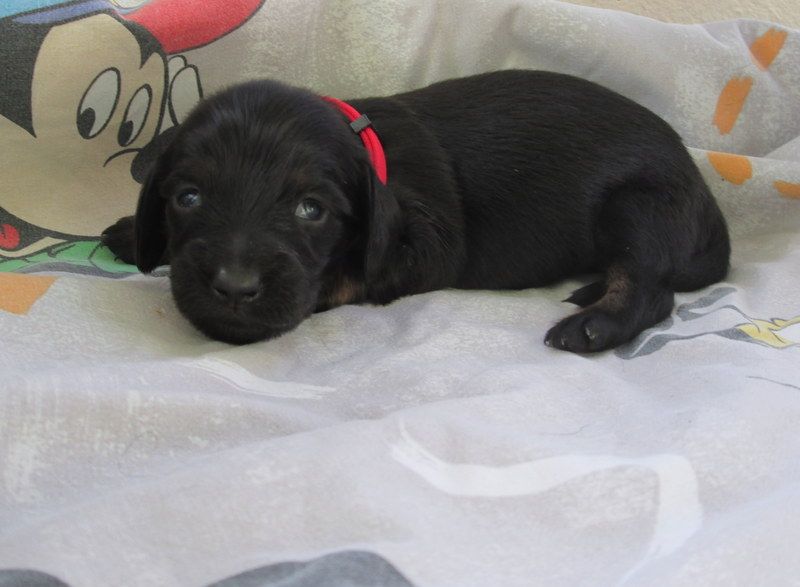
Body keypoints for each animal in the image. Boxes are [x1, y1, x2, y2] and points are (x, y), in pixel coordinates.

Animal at [102, 70, 730, 352]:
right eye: (188, 198)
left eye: (311, 209)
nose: (234, 287)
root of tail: (704, 195)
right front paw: (136, 231)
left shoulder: (430, 246)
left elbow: (351, 275)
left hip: (640, 205)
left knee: (651, 286)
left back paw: (596, 322)